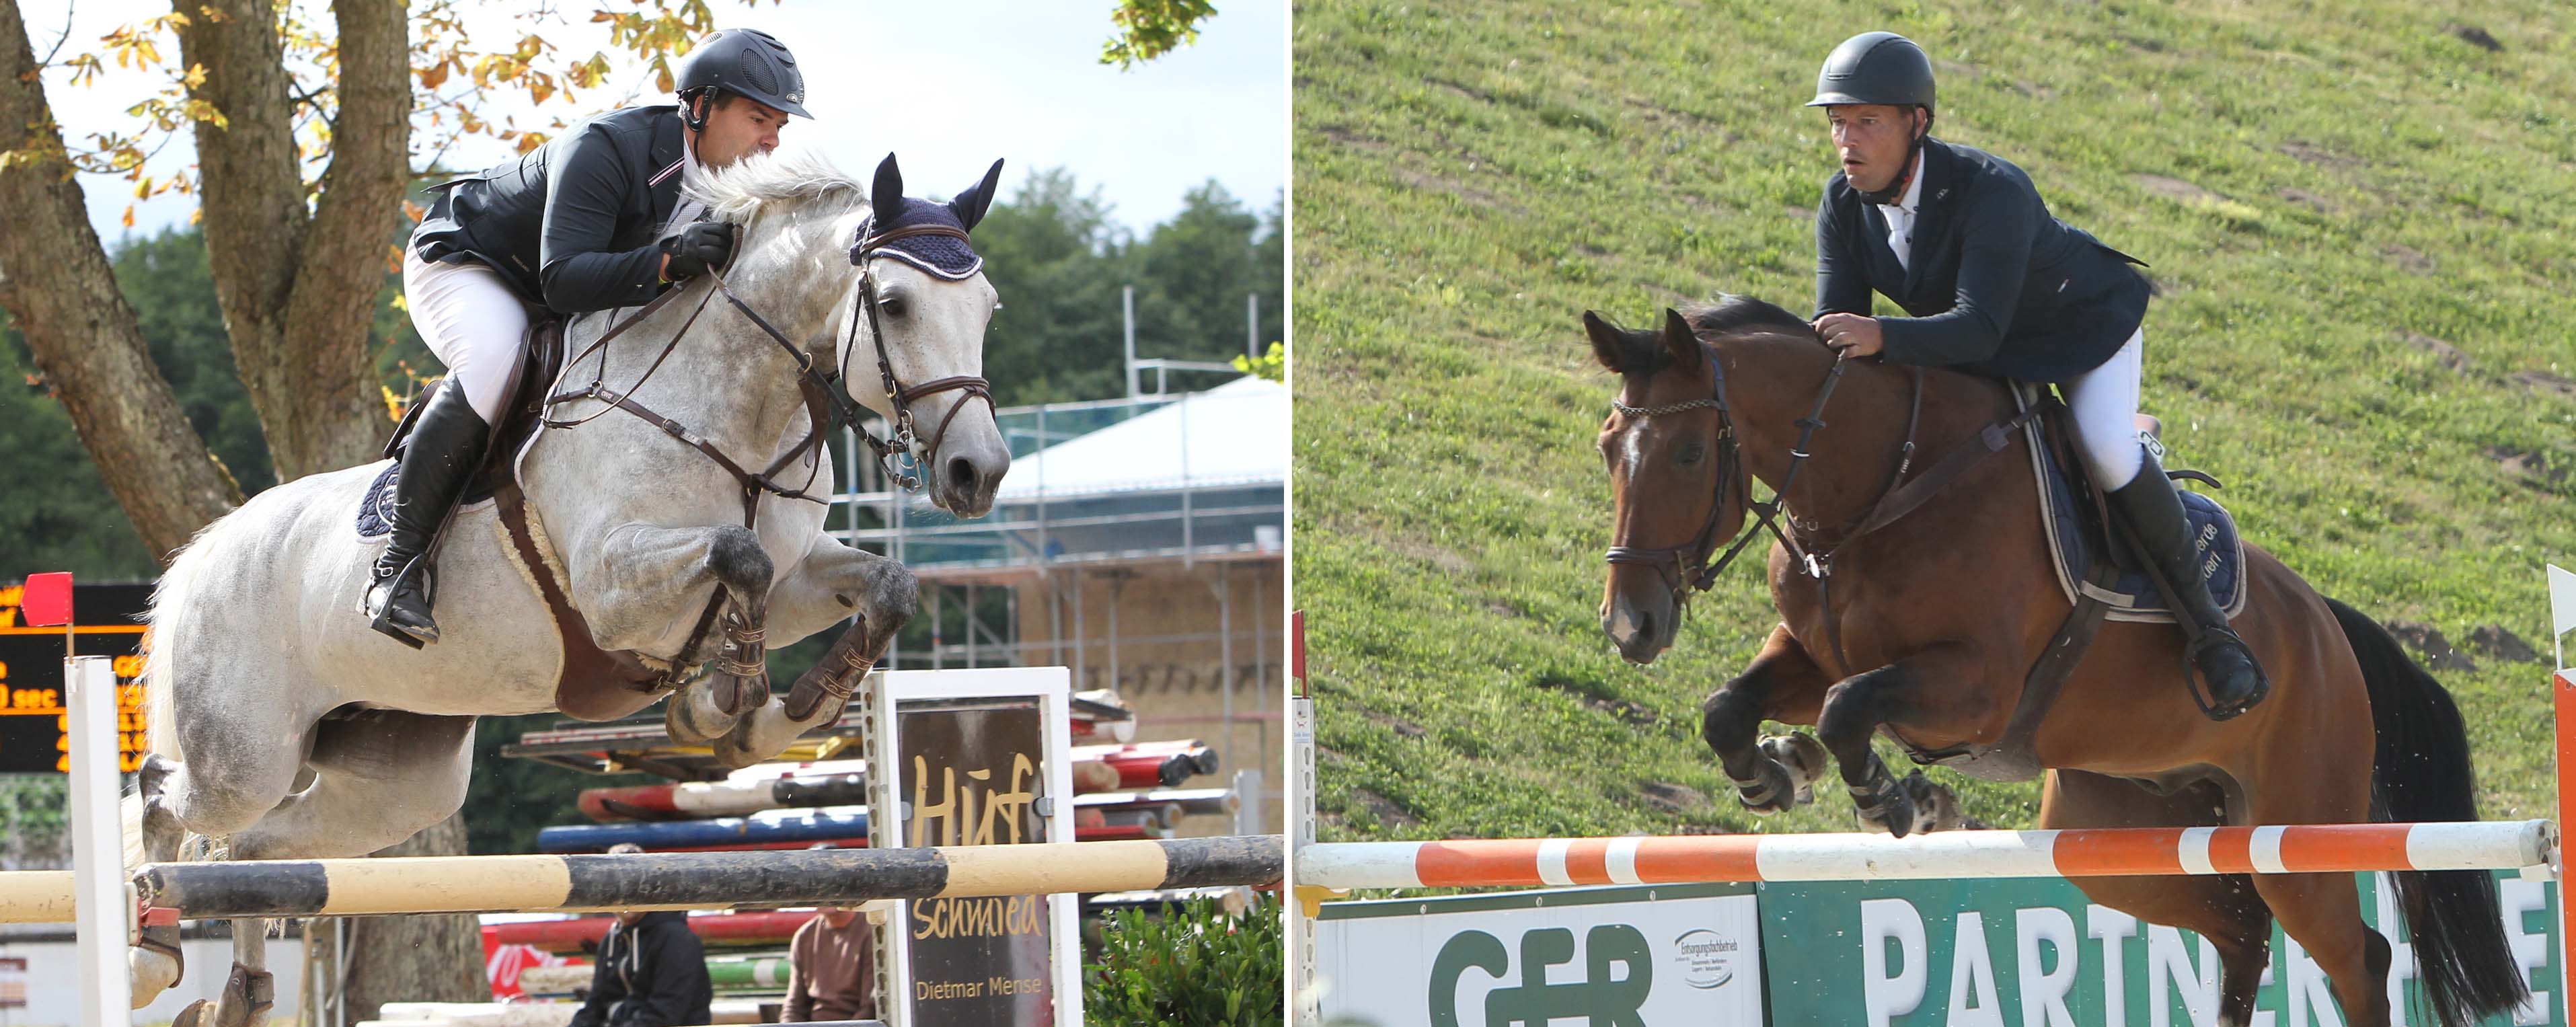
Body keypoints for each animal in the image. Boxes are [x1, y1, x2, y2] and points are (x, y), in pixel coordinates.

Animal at [122, 149, 1004, 1024]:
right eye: (892, 304)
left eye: (987, 307)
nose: (978, 473)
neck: (732, 410)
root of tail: (205, 552)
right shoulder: (615, 592)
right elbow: (737, 556)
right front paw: (719, 704)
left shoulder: (792, 582)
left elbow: (883, 587)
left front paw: (782, 715)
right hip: (247, 755)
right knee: (167, 796)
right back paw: (150, 957)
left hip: (397, 783)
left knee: (254, 851)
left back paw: (243, 995)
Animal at [1576, 299, 2524, 1027]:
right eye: (1606, 448)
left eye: (1689, 453)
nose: (1631, 626)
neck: (1881, 487)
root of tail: (2326, 626)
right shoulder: (1810, 653)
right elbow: (1733, 707)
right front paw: (1777, 773)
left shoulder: (1976, 687)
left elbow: (1851, 705)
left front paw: (1899, 800)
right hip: (2118, 835)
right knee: (2238, 931)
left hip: (2297, 837)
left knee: (2356, 959)